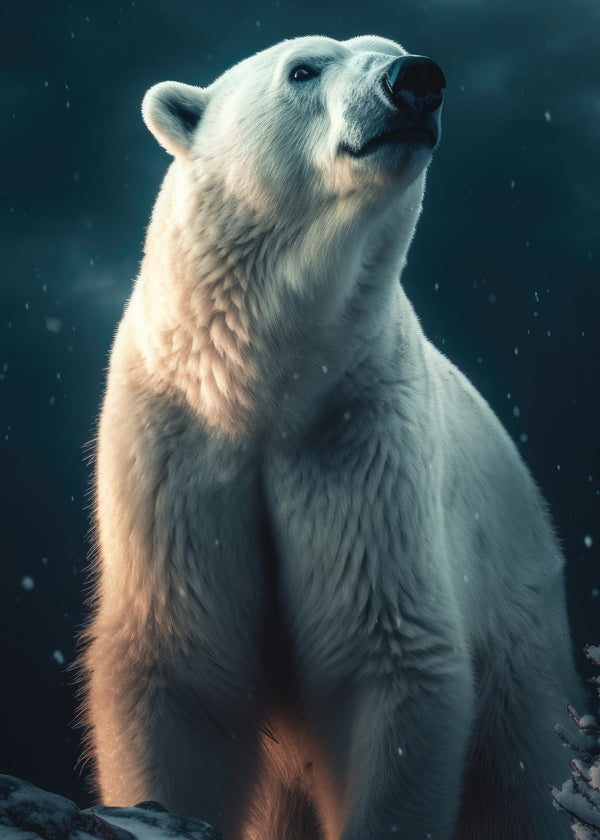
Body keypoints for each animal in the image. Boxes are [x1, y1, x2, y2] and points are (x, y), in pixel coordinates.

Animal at [82, 34, 583, 840]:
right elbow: (181, 662)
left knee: (527, 771)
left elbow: (388, 650)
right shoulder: (177, 442)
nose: (416, 79)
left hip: (520, 620)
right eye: (303, 69)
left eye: (391, 49)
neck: (263, 384)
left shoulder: (358, 436)